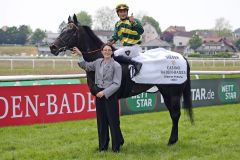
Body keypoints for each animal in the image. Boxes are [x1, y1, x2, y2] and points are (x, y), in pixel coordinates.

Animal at [50, 14, 193, 146]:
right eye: (62, 29)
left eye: (70, 31)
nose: (52, 47)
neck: (100, 58)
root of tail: (182, 57)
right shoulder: (101, 95)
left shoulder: (109, 95)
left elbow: (111, 119)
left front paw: (117, 142)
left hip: (172, 92)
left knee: (175, 114)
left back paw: (172, 141)